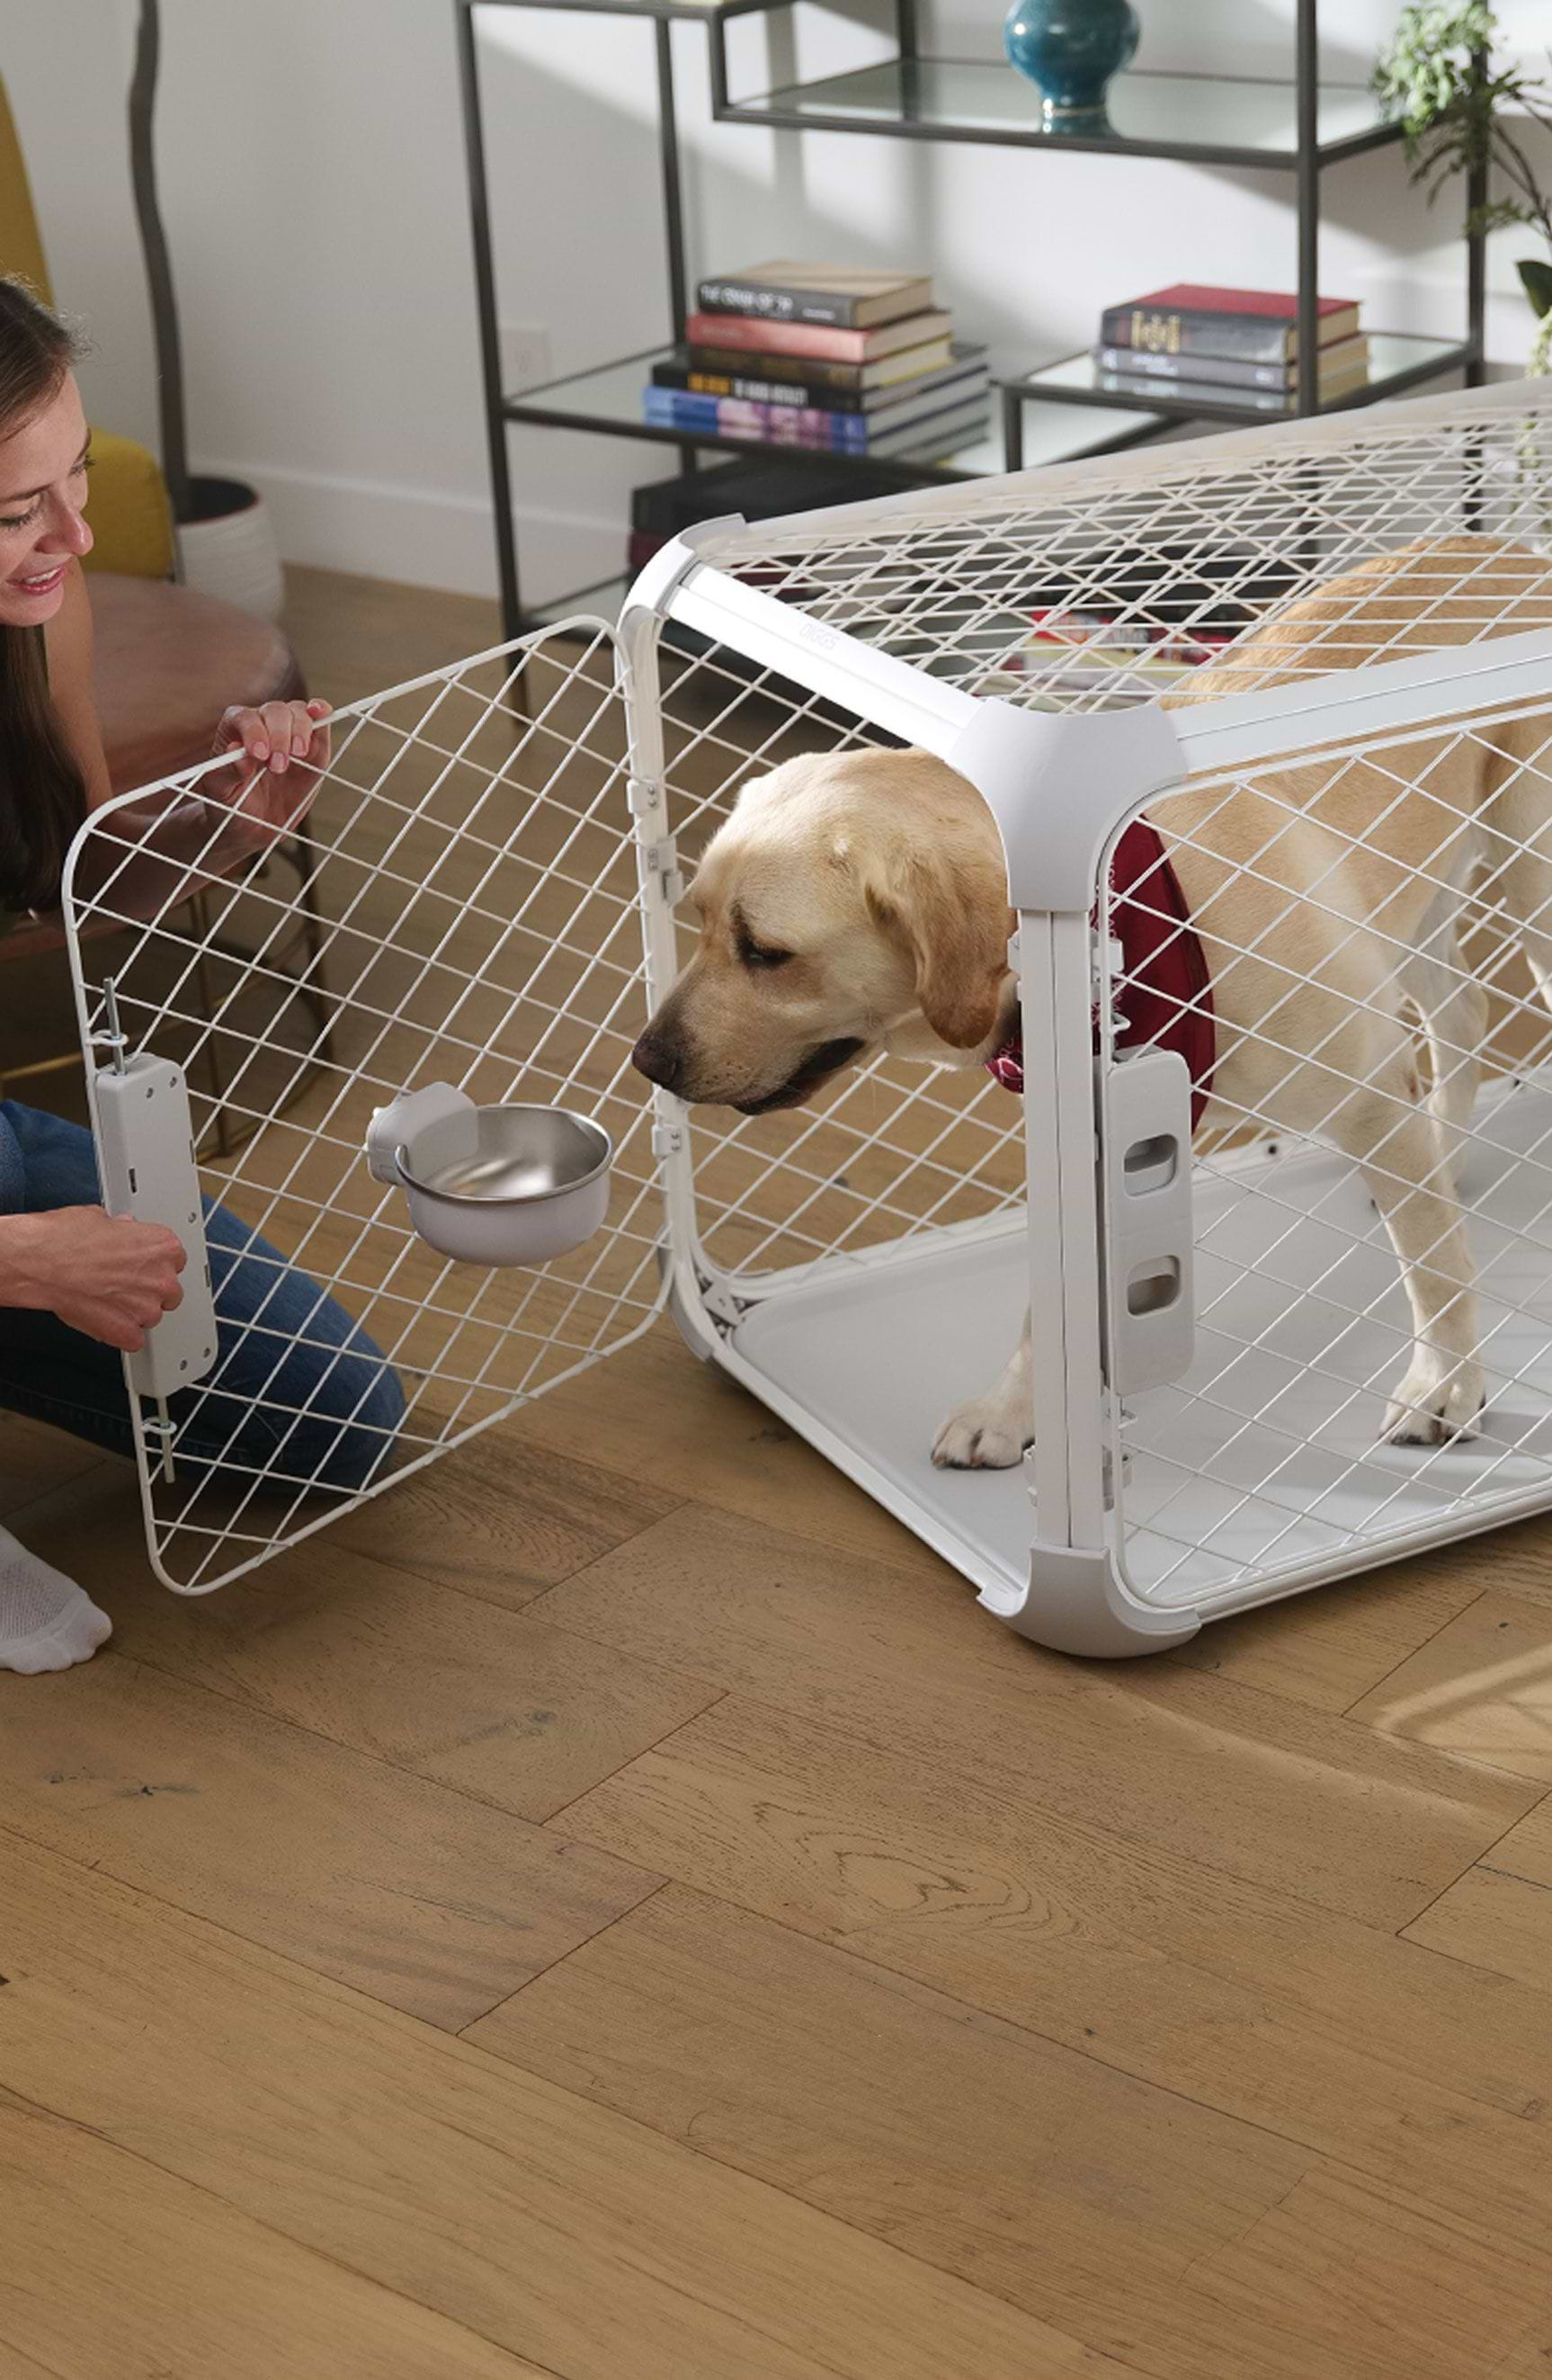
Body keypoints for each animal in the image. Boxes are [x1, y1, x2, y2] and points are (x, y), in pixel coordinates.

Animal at [628, 542, 1552, 1465]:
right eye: (698, 921)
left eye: (766, 952)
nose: (646, 1059)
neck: (1126, 929)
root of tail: (1515, 549)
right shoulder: (1089, 1150)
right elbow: (1054, 1309)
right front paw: (1015, 1412)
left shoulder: (1370, 1096)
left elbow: (1433, 1267)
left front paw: (1445, 1386)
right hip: (1413, 902)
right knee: (1463, 1015)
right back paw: (1446, 1148)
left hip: (1529, 891)